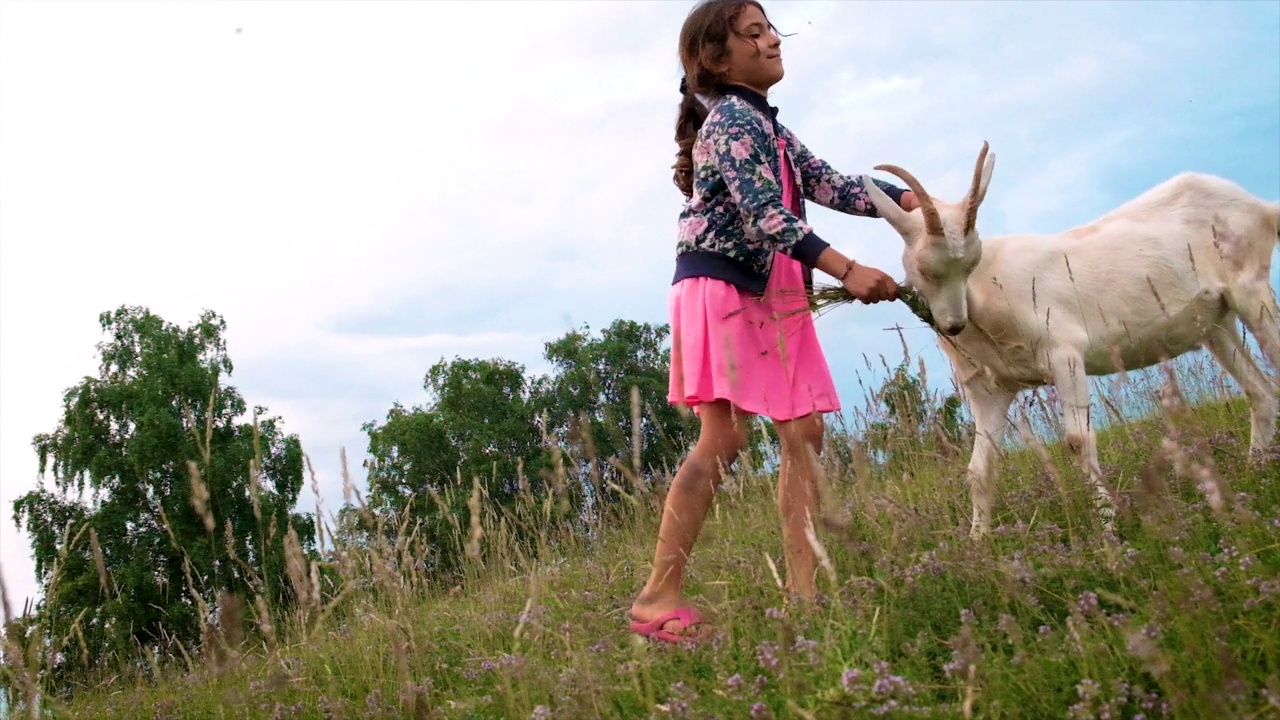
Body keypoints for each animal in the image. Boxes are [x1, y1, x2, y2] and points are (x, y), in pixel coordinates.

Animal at [860, 141, 1280, 532]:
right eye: (924, 269)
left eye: (970, 263)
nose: (953, 325)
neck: (985, 293)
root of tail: (1260, 206)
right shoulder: (991, 388)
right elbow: (980, 468)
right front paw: (978, 542)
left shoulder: (1065, 356)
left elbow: (1078, 441)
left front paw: (1108, 528)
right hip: (1215, 324)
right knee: (1259, 391)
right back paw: (1255, 471)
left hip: (1250, 290)